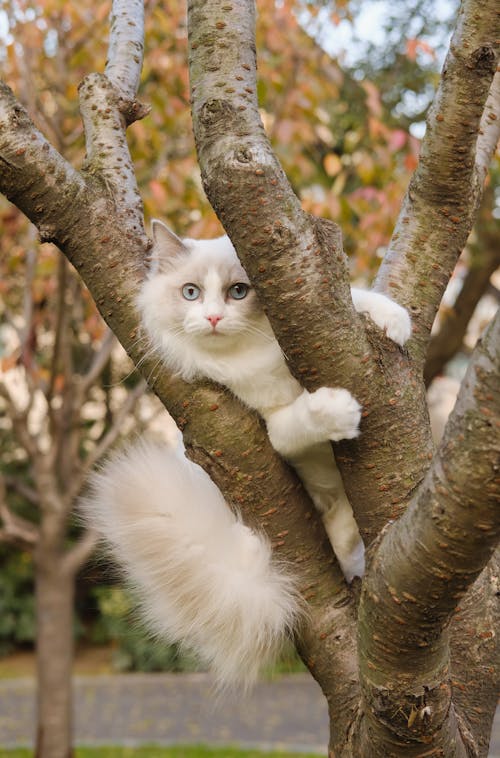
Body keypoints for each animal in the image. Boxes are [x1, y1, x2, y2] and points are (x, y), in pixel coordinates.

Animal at [82, 223, 410, 692]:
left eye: (238, 291)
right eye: (191, 293)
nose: (214, 318)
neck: (253, 354)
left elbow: (357, 299)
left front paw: (395, 319)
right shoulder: (270, 425)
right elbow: (299, 418)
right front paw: (339, 410)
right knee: (334, 526)